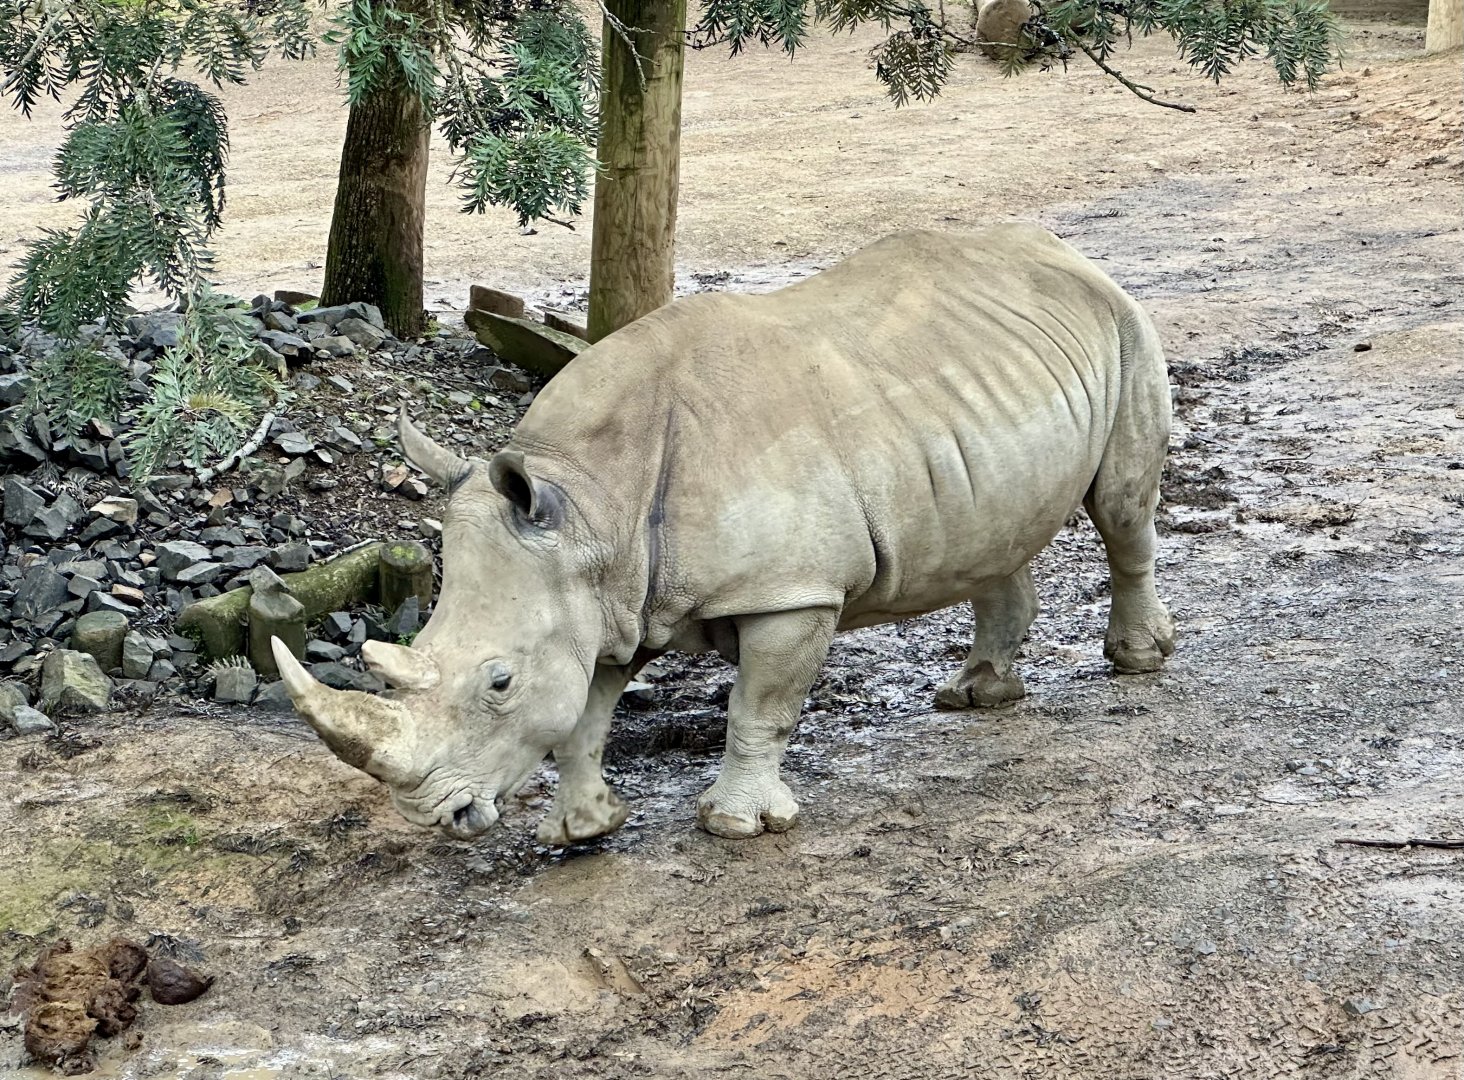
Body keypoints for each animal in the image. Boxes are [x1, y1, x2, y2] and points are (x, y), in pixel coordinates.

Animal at [272, 224, 1176, 844]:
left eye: (499, 682)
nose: (432, 814)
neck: (590, 501)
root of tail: (1063, 251)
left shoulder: (789, 592)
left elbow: (759, 707)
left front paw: (735, 827)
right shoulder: (605, 595)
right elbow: (586, 715)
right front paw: (583, 830)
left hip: (1127, 326)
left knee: (1123, 509)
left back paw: (1135, 662)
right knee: (995, 530)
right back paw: (976, 696)